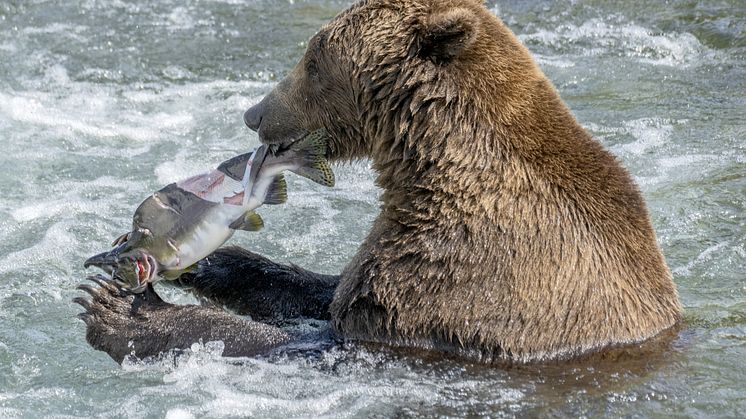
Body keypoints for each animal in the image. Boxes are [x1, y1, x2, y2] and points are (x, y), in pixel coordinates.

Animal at [77, 0, 680, 364]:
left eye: (313, 59)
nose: (255, 113)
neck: (432, 161)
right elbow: (321, 289)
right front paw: (217, 260)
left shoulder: (459, 269)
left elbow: (323, 338)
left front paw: (122, 311)